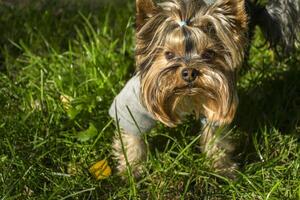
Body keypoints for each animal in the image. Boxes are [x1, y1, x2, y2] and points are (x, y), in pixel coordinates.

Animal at [109, 0, 298, 178]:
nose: (189, 72)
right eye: (169, 54)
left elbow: (215, 135)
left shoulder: (220, 101)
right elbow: (132, 132)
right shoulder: (136, 101)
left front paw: (222, 169)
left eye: (209, 54)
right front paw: (132, 169)